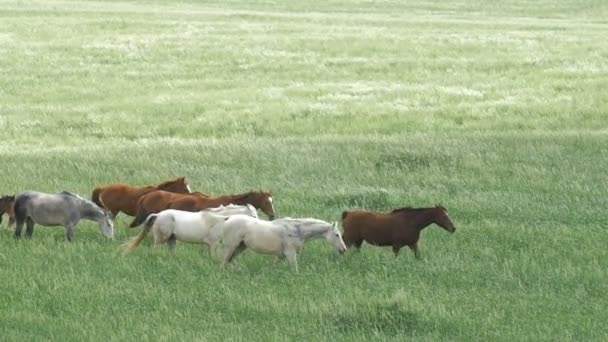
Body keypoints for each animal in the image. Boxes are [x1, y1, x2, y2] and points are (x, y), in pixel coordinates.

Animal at [122, 204, 258, 255]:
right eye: (253, 216)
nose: (258, 224)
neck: (220, 220)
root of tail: (158, 215)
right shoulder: (214, 244)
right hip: (161, 239)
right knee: (154, 250)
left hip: (172, 239)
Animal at [217, 215, 346, 272]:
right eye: (337, 235)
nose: (343, 249)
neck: (297, 230)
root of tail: (227, 219)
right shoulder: (290, 254)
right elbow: (294, 270)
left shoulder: (281, 256)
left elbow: (273, 267)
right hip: (230, 247)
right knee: (223, 263)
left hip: (240, 247)